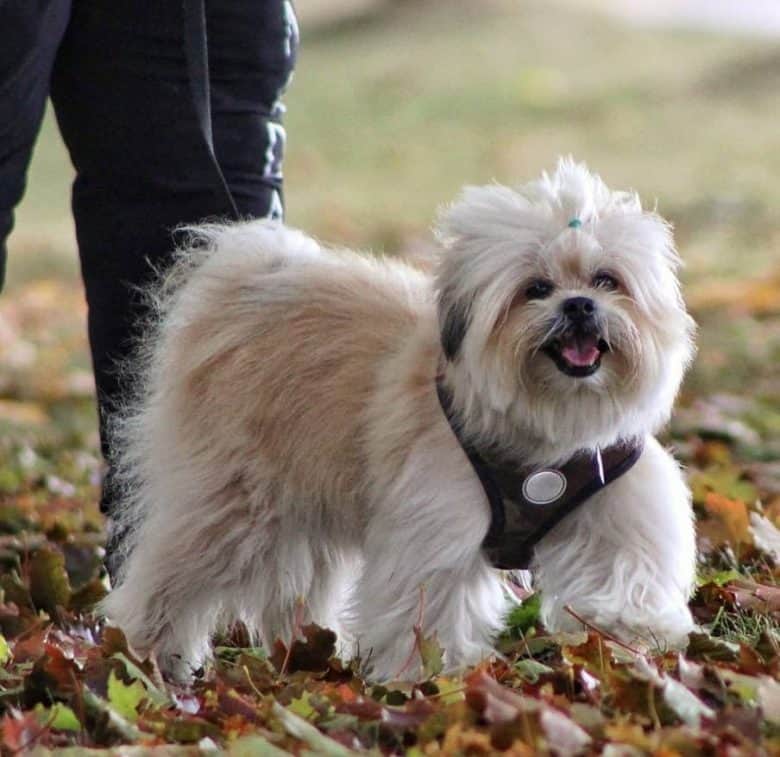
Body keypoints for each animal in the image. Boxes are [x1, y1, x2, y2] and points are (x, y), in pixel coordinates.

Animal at [100, 158, 696, 680]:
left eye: (607, 281)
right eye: (535, 289)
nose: (578, 306)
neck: (545, 431)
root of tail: (244, 288)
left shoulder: (615, 504)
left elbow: (626, 570)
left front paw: (634, 626)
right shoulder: (434, 527)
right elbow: (426, 608)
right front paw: (428, 677)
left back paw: (307, 653)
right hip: (232, 507)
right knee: (169, 580)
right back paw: (149, 658)